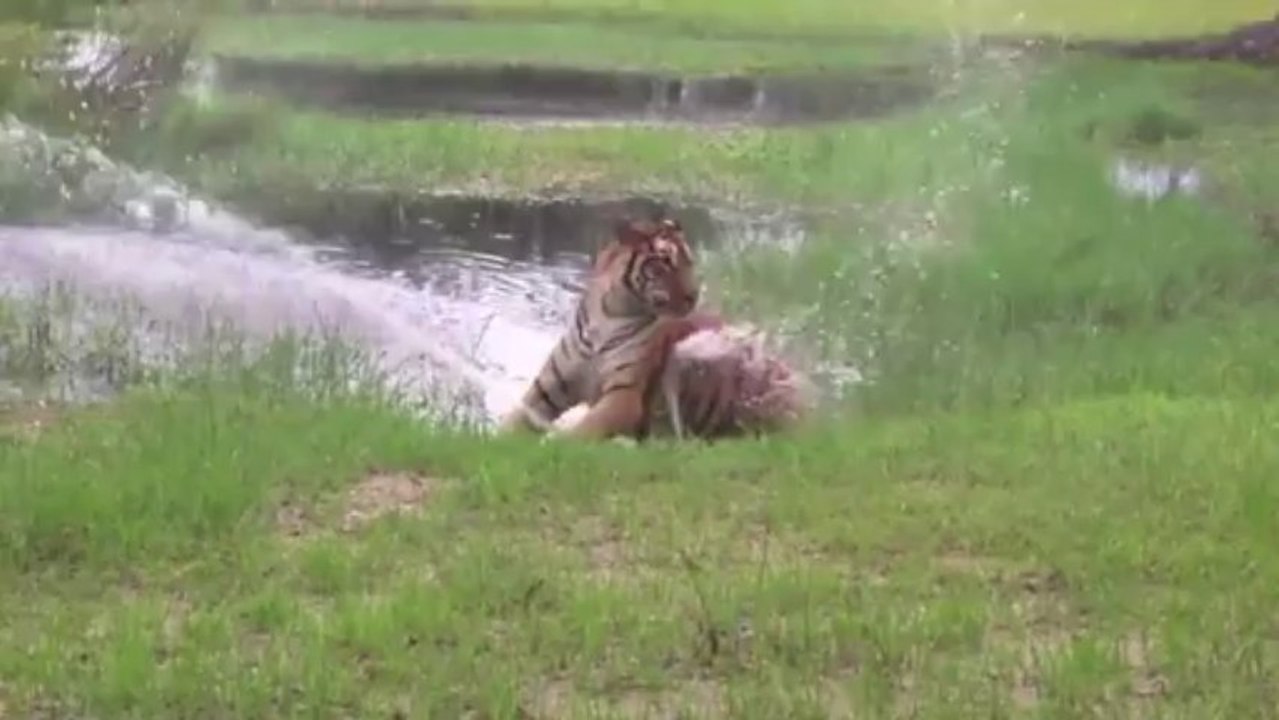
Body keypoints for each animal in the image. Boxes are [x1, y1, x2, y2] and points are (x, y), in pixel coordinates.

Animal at [496, 216, 702, 441]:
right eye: (664, 264)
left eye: (689, 263)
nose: (694, 296)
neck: (609, 314)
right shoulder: (549, 386)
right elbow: (515, 419)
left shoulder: (624, 394)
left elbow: (584, 430)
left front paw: (554, 440)